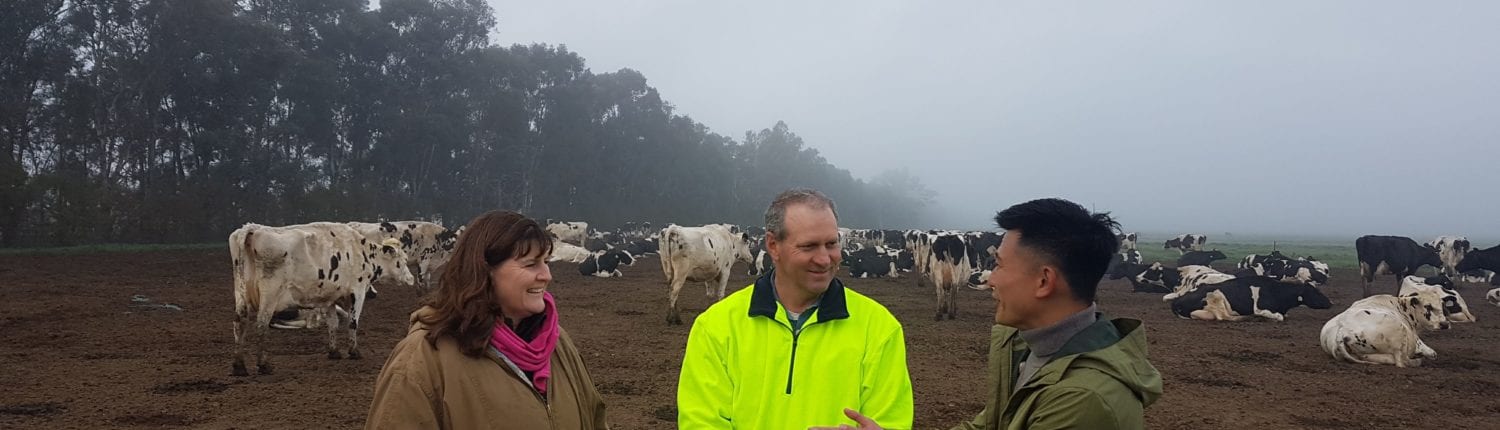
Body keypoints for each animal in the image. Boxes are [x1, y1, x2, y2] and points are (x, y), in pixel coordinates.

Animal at [228, 224, 417, 376]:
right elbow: (352, 322)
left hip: (240, 293)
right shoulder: (358, 291)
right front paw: (354, 351)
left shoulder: (328, 297)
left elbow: (332, 324)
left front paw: (334, 352)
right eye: (403, 260)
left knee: (239, 323)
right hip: (270, 295)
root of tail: (252, 229)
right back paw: (263, 365)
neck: (360, 251)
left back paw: (239, 366)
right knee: (261, 324)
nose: (411, 278)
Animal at [1164, 278, 1332, 322]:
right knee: (1223, 317)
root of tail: (1177, 301)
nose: (1331, 303)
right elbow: (1279, 317)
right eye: (1315, 292)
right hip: (1216, 296)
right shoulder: (1261, 307)